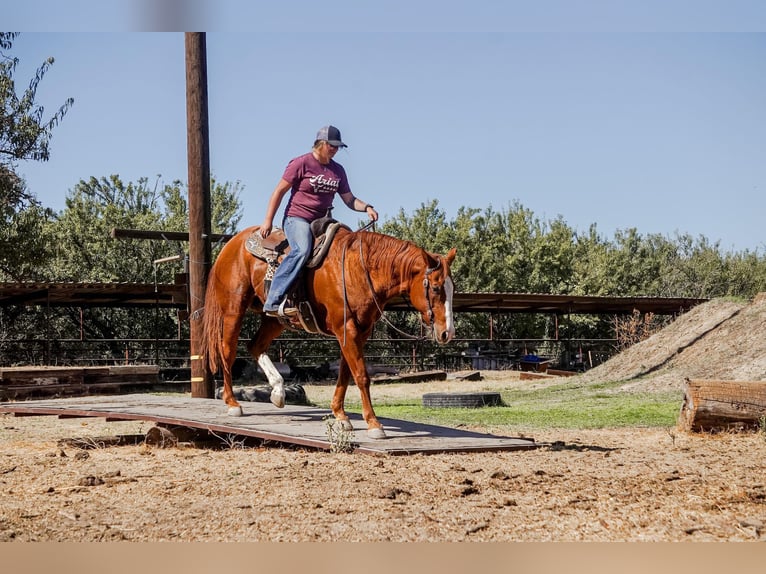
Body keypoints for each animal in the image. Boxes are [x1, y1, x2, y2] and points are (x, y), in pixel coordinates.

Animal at [199, 224, 457, 439]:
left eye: (452, 288)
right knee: (227, 351)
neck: (359, 269)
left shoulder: (357, 332)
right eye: (435, 288)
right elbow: (361, 376)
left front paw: (341, 416)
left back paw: (278, 392)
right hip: (233, 310)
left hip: (275, 320)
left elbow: (345, 373)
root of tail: (232, 244)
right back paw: (233, 403)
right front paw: (374, 424)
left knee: (255, 346)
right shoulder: (347, 329)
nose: (447, 333)